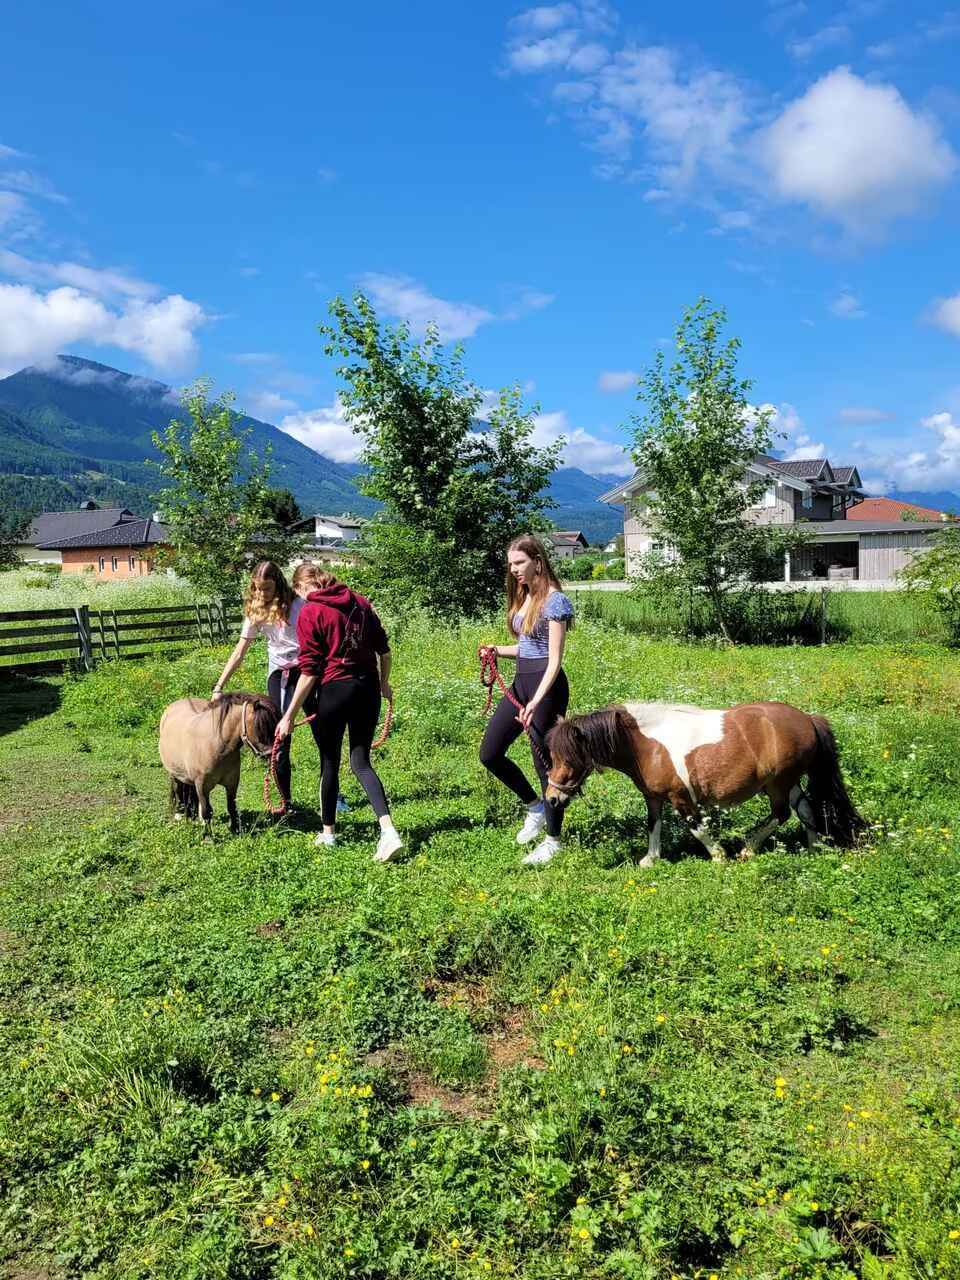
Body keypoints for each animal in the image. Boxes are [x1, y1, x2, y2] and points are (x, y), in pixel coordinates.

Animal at [158, 696, 277, 834]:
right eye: (259, 726)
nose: (272, 755)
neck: (217, 746)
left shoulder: (232, 782)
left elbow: (231, 806)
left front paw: (235, 830)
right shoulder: (202, 786)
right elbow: (207, 811)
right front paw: (207, 836)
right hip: (174, 773)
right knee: (177, 790)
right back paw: (179, 814)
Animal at [545, 701, 870, 870]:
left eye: (568, 758)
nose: (551, 798)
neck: (646, 744)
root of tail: (808, 719)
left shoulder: (681, 798)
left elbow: (696, 828)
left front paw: (718, 856)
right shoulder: (654, 798)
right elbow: (653, 824)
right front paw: (651, 859)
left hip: (779, 784)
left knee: (782, 815)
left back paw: (748, 849)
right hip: (787, 785)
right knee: (806, 811)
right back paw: (813, 850)